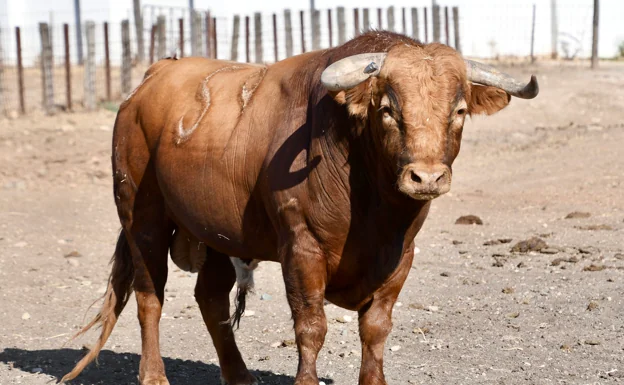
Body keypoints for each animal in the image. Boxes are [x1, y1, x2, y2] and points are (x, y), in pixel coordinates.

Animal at [61, 32, 536, 384]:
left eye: (459, 110)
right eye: (387, 109)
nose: (427, 178)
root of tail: (153, 76)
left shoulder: (401, 256)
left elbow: (376, 329)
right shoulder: (301, 248)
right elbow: (311, 326)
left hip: (213, 233)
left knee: (210, 298)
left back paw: (239, 376)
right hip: (142, 217)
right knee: (150, 296)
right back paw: (154, 375)